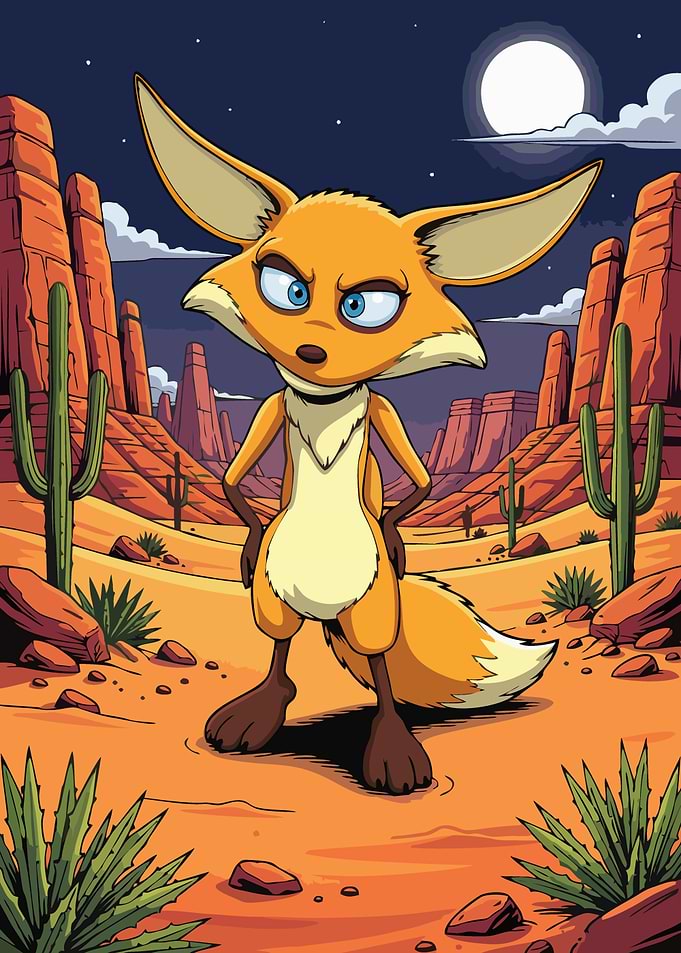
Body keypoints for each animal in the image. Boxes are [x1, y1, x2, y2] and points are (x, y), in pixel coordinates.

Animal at [135, 75, 602, 795]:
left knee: (377, 661)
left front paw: (396, 537)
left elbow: (419, 483)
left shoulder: (380, 414)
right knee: (279, 643)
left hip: (374, 604)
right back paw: (257, 712)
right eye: (287, 289)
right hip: (274, 596)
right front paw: (246, 541)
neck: (324, 403)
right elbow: (235, 480)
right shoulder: (272, 410)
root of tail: (325, 610)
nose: (311, 350)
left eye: (365, 306)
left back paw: (391, 747)